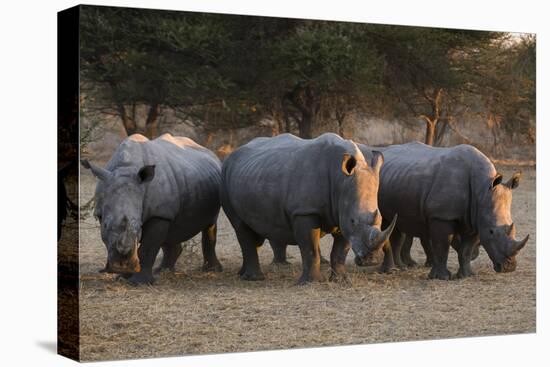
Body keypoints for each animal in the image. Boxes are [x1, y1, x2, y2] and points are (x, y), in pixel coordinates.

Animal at [81, 134, 222, 286]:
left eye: (139, 226)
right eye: (106, 225)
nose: (121, 265)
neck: (125, 168)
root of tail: (208, 151)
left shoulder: (159, 214)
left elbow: (147, 248)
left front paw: (138, 283)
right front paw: (122, 277)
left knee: (210, 225)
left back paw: (212, 270)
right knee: (172, 230)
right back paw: (162, 271)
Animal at [220, 132, 396, 284]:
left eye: (381, 220)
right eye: (353, 220)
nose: (371, 260)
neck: (340, 181)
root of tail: (230, 155)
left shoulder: (342, 213)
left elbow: (340, 251)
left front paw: (340, 280)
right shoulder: (304, 211)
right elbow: (310, 248)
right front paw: (311, 283)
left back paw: (242, 274)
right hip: (224, 176)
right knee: (240, 227)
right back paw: (254, 279)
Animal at [358, 142, 532, 280]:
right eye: (491, 232)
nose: (509, 267)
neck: (482, 190)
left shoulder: (475, 218)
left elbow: (466, 250)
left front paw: (467, 276)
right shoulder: (441, 216)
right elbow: (442, 245)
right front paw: (442, 277)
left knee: (395, 225)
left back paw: (401, 268)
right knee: (384, 226)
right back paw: (389, 271)